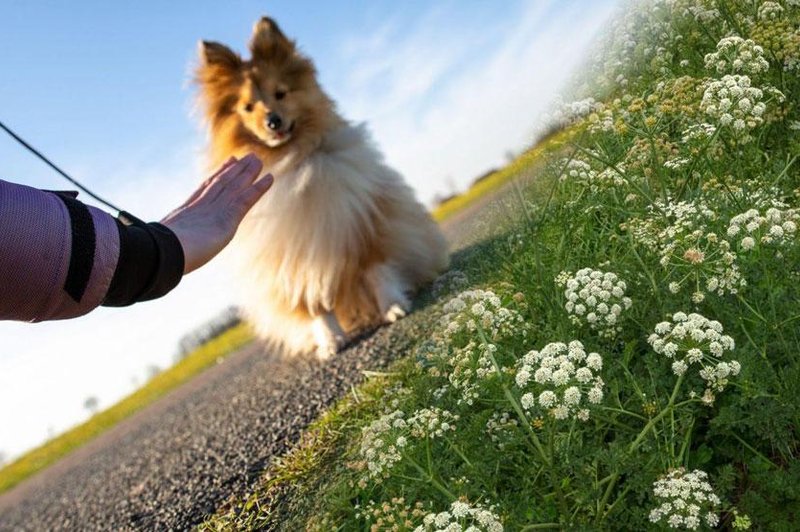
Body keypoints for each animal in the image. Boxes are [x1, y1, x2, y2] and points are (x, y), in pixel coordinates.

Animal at [195, 17, 450, 358]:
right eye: (248, 107)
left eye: (280, 93)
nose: (273, 122)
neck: (294, 159)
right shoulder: (292, 259)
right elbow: (311, 304)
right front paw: (330, 341)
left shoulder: (363, 223)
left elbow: (377, 269)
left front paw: (393, 308)